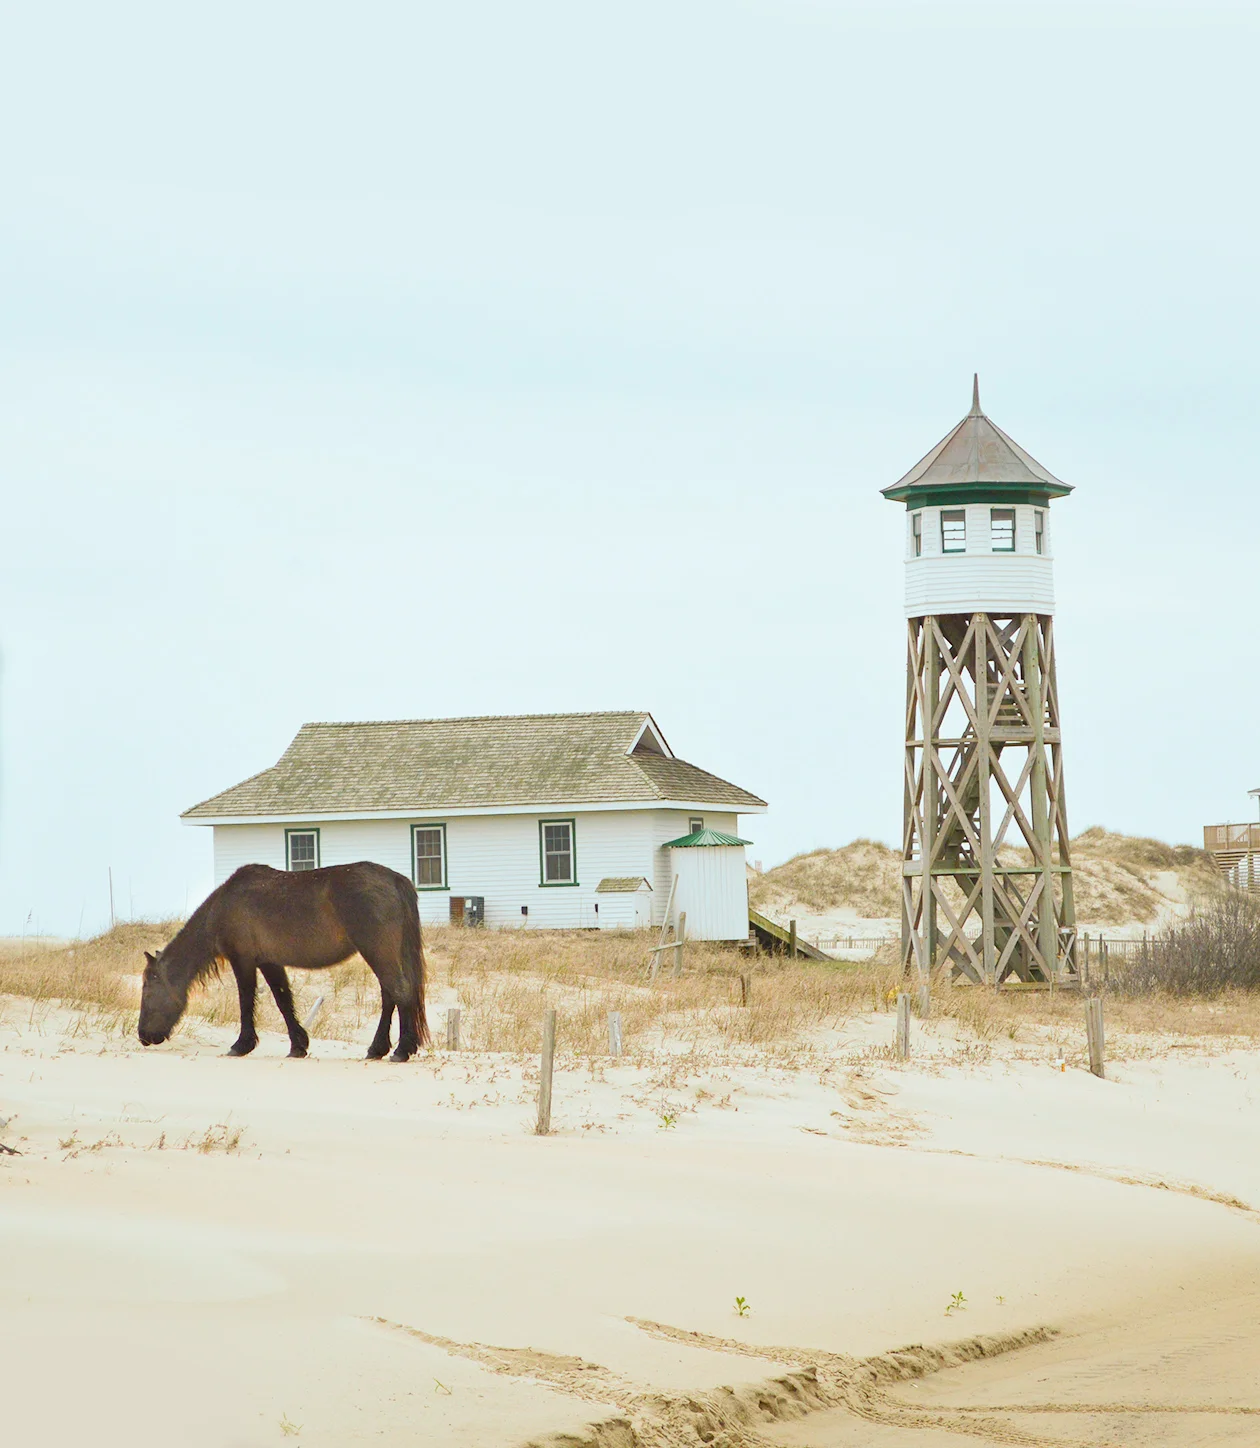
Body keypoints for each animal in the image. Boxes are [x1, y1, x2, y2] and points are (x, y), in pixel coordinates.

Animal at [138, 861, 429, 1061]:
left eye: (148, 990)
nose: (143, 1036)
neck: (224, 906)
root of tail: (394, 879)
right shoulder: (270, 962)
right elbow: (283, 1000)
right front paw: (298, 1045)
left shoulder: (243, 960)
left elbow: (246, 1000)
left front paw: (241, 1045)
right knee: (390, 995)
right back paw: (378, 1048)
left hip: (377, 952)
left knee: (399, 991)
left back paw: (402, 1050)